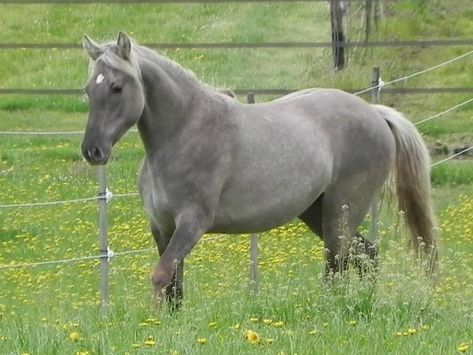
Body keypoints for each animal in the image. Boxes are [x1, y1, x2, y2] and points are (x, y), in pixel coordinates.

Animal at [80, 33, 436, 310]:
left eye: (116, 87)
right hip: (316, 211)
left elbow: (161, 276)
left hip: (342, 211)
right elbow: (174, 286)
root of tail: (375, 113)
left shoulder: (192, 223)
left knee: (337, 264)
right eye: (88, 89)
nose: (92, 151)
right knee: (365, 254)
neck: (184, 130)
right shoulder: (162, 226)